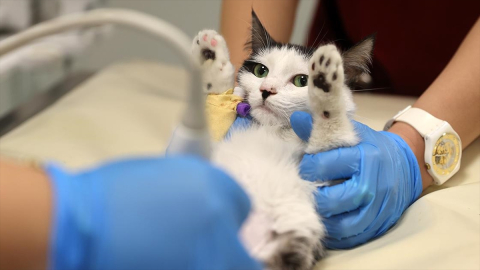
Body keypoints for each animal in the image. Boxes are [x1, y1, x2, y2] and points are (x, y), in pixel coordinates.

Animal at [191, 11, 376, 270]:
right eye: (260, 71)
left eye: (301, 81)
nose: (266, 90)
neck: (276, 129)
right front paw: (211, 58)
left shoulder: (333, 172)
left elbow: (333, 133)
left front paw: (327, 83)